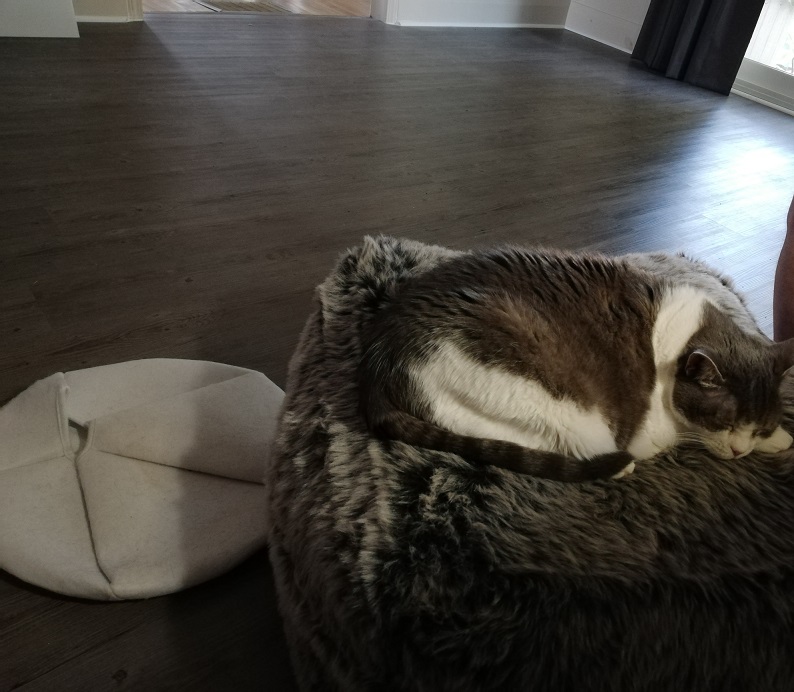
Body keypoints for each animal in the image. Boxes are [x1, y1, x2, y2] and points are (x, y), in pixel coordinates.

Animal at [358, 247, 792, 482]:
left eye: (758, 425)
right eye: (722, 421)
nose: (739, 451)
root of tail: (379, 352)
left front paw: (778, 438)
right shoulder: (655, 433)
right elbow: (684, 437)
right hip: (563, 410)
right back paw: (615, 467)